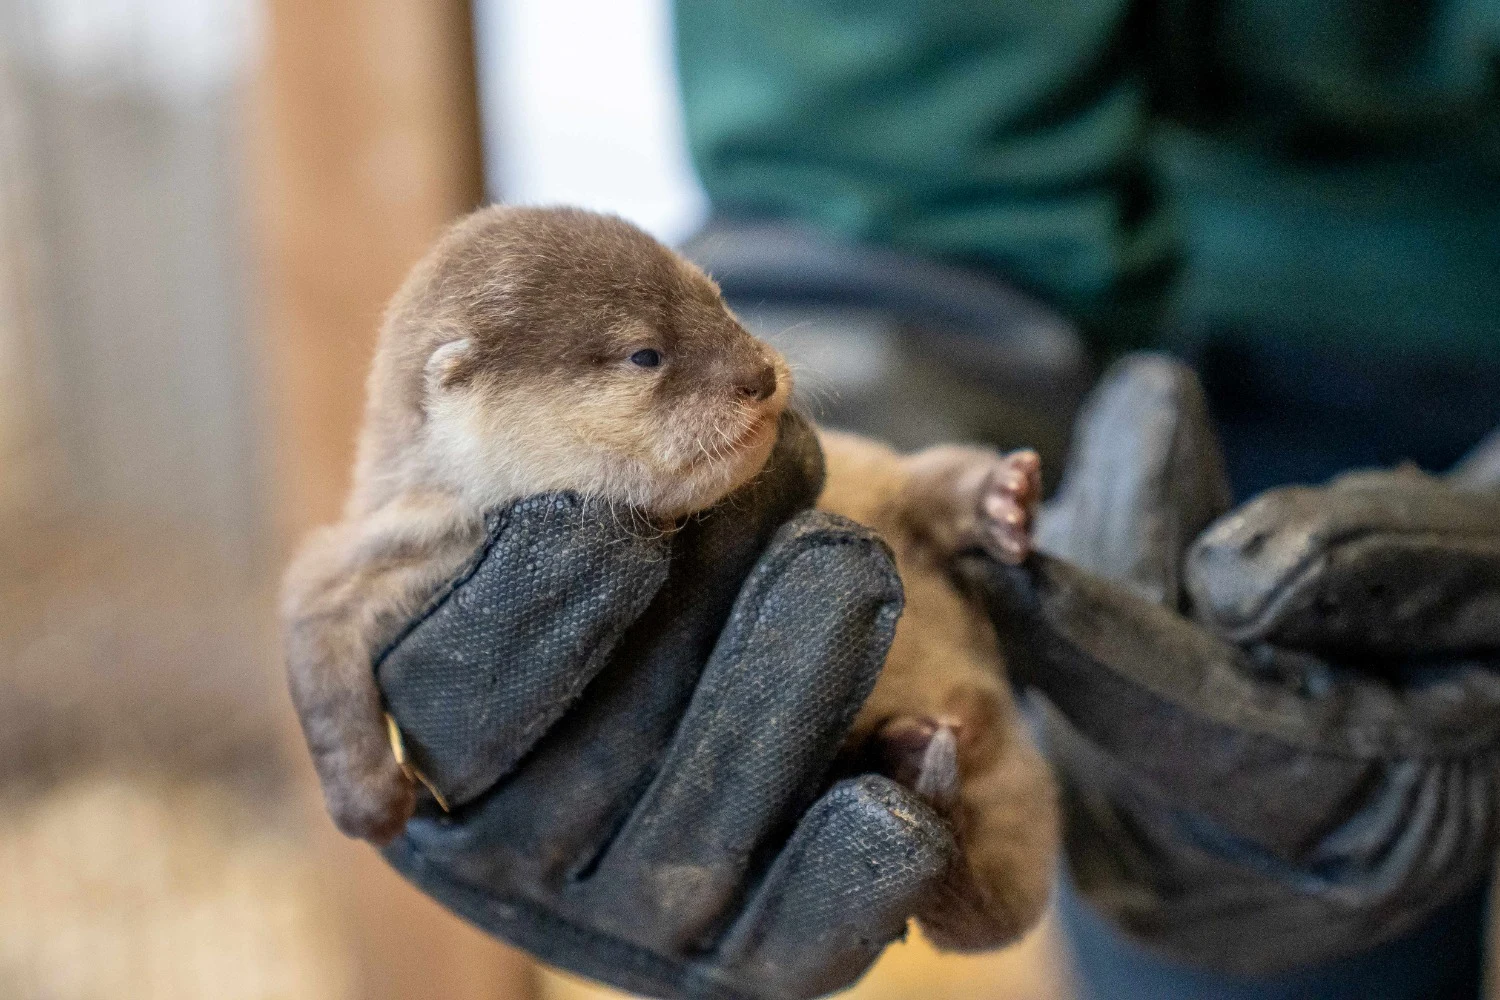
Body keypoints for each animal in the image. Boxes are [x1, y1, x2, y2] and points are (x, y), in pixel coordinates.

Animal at [282, 206, 1057, 950]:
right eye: (645, 354)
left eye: (716, 298)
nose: (759, 375)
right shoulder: (387, 540)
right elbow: (310, 628)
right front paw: (369, 801)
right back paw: (907, 755)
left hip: (885, 475)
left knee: (931, 481)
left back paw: (1001, 500)